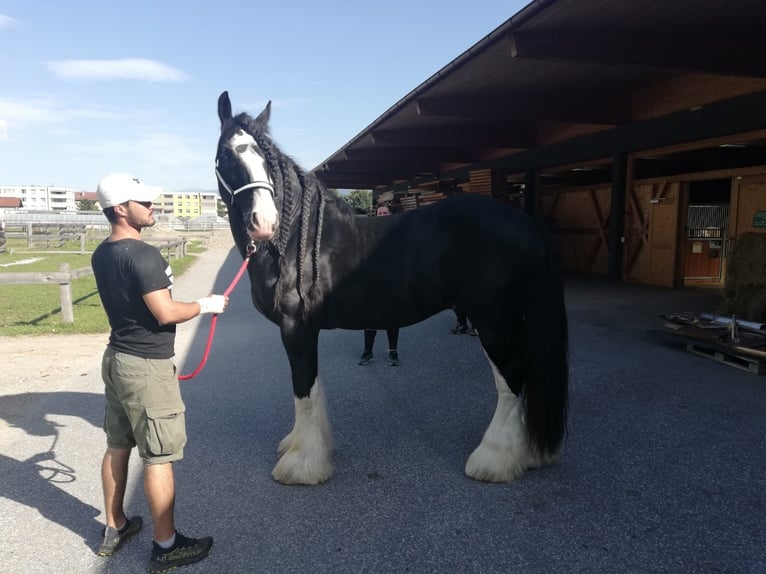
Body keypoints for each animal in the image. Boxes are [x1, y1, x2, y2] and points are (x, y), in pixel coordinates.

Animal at [215, 91, 569, 486]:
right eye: (227, 154)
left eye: (266, 160)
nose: (263, 222)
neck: (295, 242)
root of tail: (526, 221)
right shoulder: (306, 331)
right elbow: (312, 388)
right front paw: (301, 447)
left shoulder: (296, 329)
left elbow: (304, 389)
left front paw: (301, 464)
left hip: (494, 322)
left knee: (513, 379)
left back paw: (494, 460)